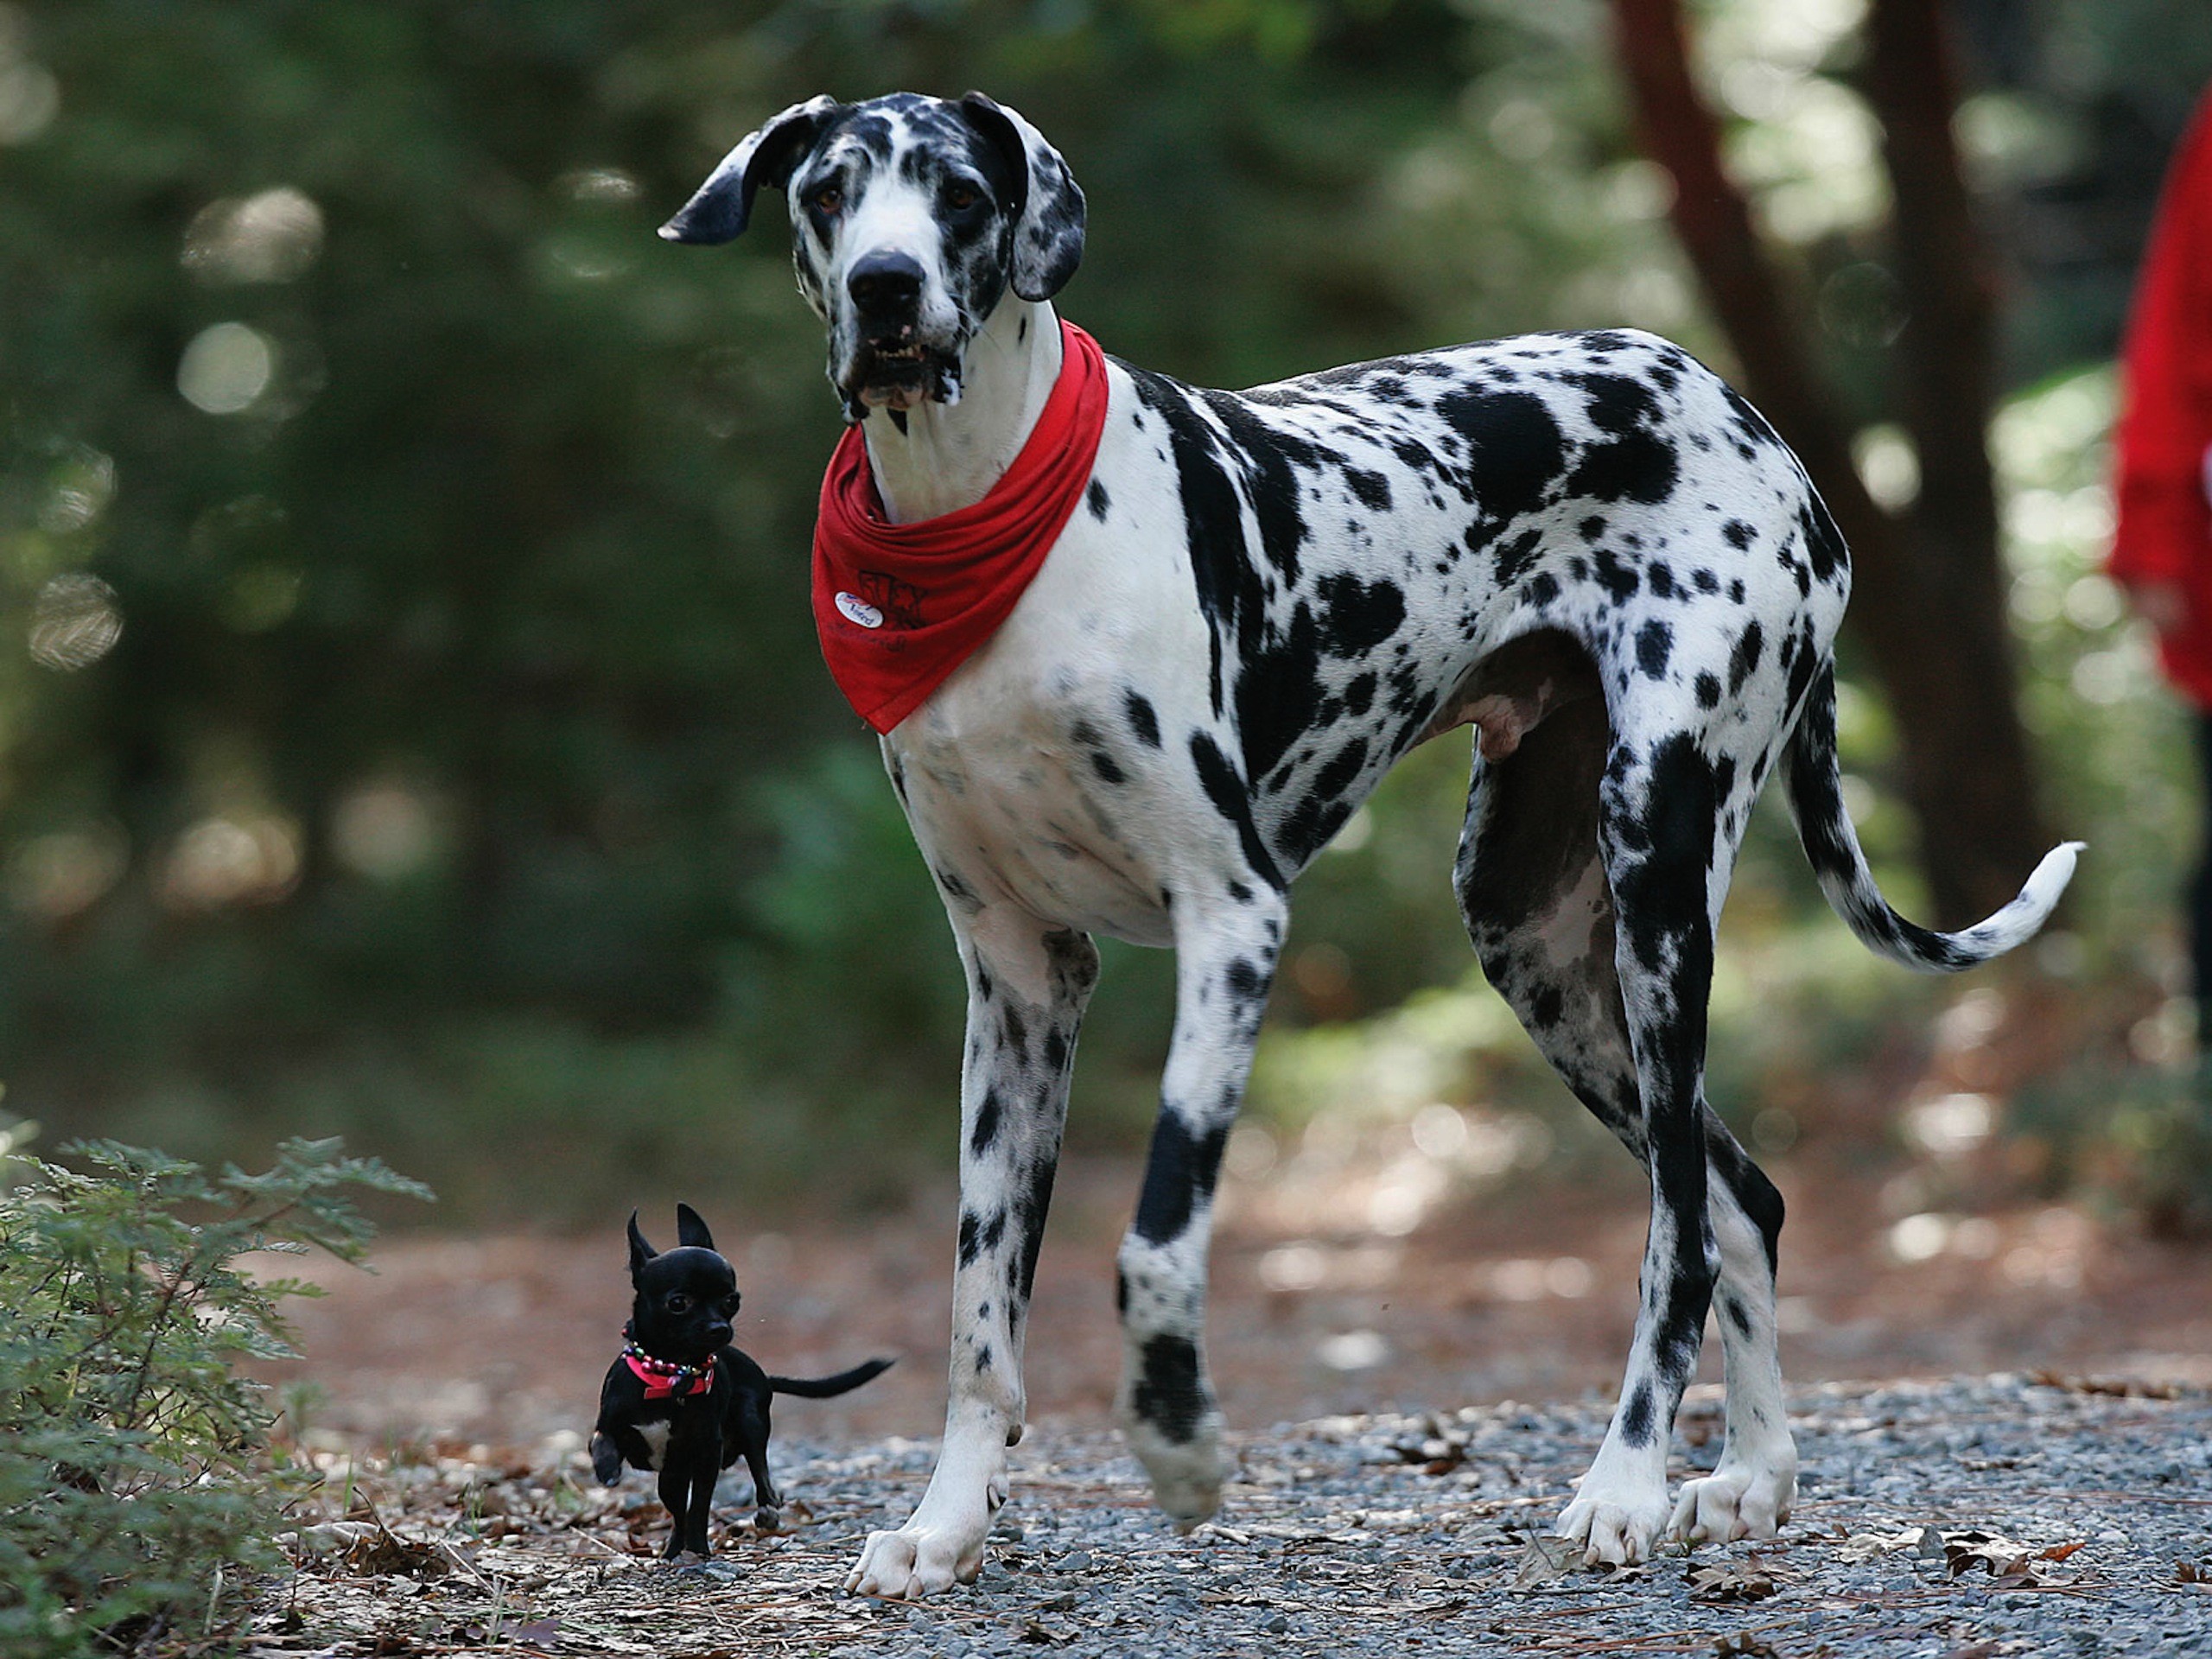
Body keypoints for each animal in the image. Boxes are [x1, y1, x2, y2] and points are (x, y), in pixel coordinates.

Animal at [597, 1211, 898, 1557]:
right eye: (678, 1303)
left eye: (732, 1300)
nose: (718, 1328)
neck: (671, 1374)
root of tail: (763, 1375)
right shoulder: (614, 1429)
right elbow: (604, 1443)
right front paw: (607, 1470)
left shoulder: (706, 1453)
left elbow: (699, 1506)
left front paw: (700, 1550)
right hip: (674, 1475)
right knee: (676, 1508)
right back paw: (673, 1549)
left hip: (749, 1423)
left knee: (761, 1478)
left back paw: (765, 1512)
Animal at [654, 90, 2070, 1601]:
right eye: (831, 191)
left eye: (962, 196)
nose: (887, 286)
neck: (985, 523)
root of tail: (1742, 410)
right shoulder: (1020, 982)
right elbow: (981, 1309)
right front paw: (947, 1523)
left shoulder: (1233, 923)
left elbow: (1154, 1244)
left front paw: (1181, 1449)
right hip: (1534, 942)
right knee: (1742, 1199)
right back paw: (1751, 1476)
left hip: (1656, 884)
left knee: (1683, 1226)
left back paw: (1625, 1483)